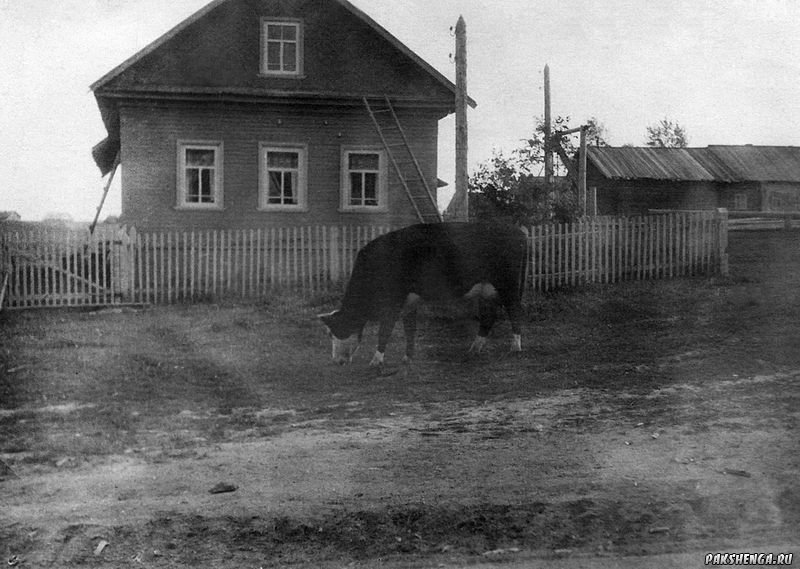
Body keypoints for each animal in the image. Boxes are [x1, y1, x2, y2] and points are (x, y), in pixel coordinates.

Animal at [316, 220, 528, 366]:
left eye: (336, 331)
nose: (337, 361)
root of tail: (514, 230)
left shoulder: (394, 302)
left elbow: (385, 331)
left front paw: (376, 361)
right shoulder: (409, 303)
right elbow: (410, 330)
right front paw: (407, 358)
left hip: (508, 285)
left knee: (515, 311)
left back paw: (515, 347)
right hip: (487, 290)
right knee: (488, 317)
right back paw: (474, 348)